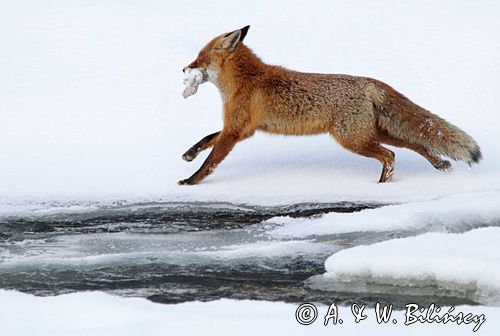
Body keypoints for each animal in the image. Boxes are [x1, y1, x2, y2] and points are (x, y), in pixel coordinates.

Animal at [179, 25, 480, 185]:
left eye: (200, 57)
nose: (184, 68)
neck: (245, 80)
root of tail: (369, 82)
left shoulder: (235, 131)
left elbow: (211, 159)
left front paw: (191, 181)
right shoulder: (242, 129)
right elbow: (207, 139)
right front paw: (189, 154)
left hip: (353, 139)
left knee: (391, 155)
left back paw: (382, 184)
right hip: (375, 133)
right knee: (415, 144)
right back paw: (440, 165)